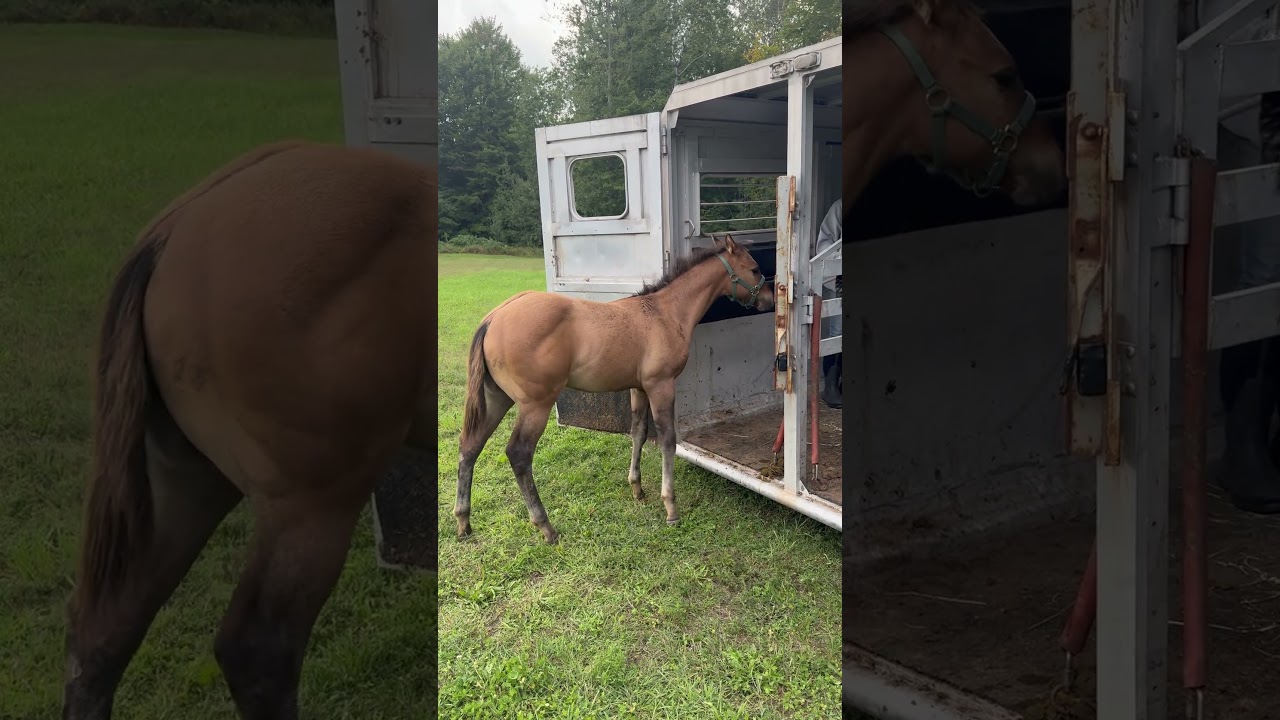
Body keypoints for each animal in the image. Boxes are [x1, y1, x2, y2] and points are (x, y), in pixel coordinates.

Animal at [455, 236, 773, 544]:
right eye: (755, 269)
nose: (769, 300)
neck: (665, 313)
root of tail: (493, 319)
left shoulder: (638, 388)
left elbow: (638, 433)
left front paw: (637, 489)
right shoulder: (661, 385)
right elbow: (667, 439)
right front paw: (670, 507)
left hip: (496, 398)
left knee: (470, 446)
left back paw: (463, 522)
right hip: (536, 404)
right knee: (518, 454)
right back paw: (546, 527)